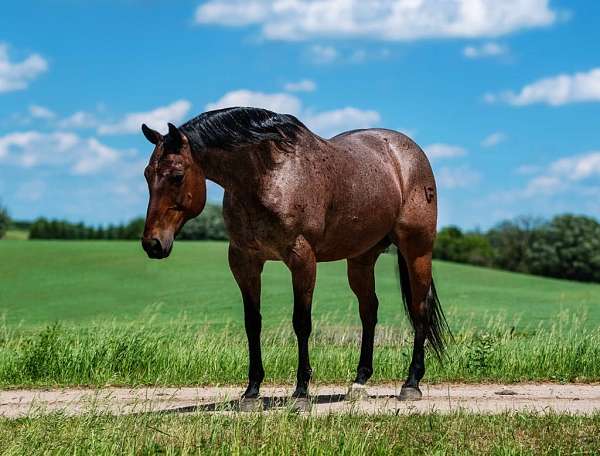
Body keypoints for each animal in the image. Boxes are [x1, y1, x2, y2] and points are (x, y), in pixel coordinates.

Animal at [142, 107, 450, 410]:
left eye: (177, 175)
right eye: (147, 174)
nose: (152, 244)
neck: (268, 175)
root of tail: (408, 153)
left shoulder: (302, 259)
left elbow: (301, 322)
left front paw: (301, 392)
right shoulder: (244, 261)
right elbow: (252, 323)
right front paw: (251, 391)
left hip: (417, 250)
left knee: (419, 309)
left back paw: (411, 384)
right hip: (361, 259)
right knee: (369, 311)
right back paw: (359, 382)